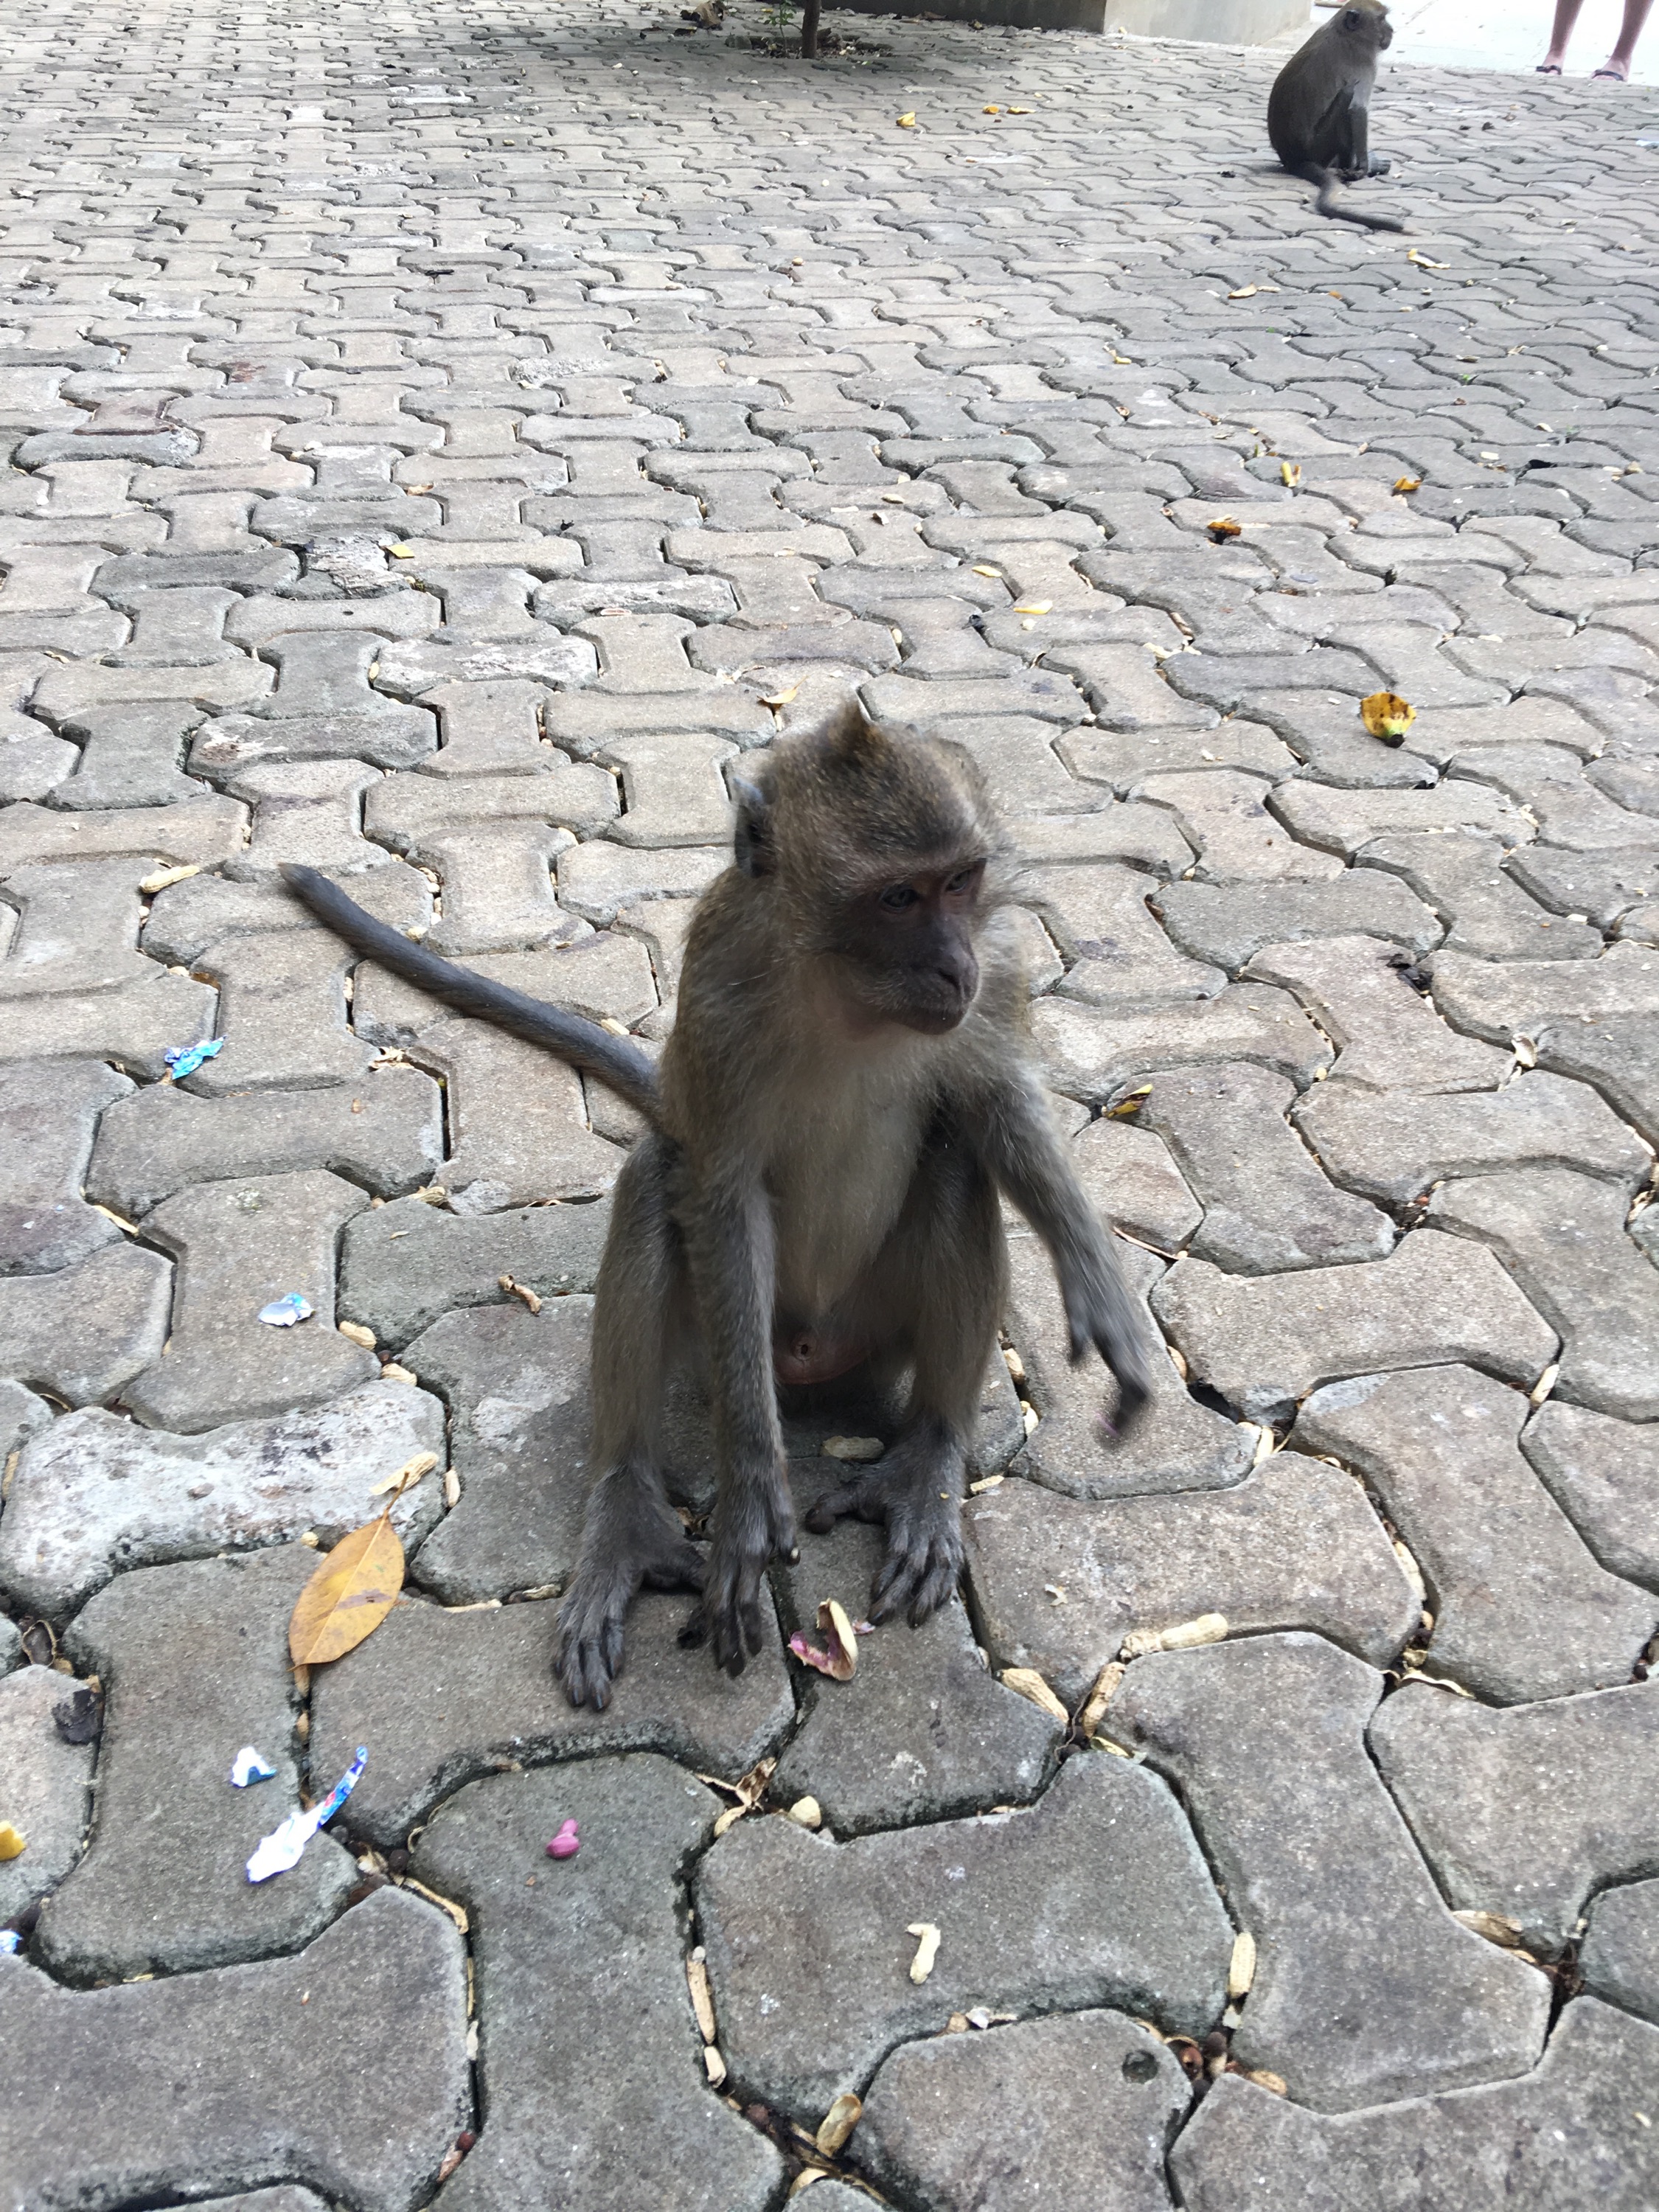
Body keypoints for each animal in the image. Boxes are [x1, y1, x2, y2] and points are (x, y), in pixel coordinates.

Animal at [282, 705, 1152, 1709]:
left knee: (955, 1160)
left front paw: (1100, 1290)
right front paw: (750, 1496)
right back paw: (627, 1510)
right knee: (661, 1174)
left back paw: (927, 1460)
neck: (846, 998)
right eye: (898, 898)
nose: (952, 968)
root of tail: (815, 1357)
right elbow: (721, 1190)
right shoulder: (719, 987)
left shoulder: (1001, 965)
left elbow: (995, 1103)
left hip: (876, 1328)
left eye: (961, 882)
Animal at [1268, 0, 1405, 234]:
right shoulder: (1365, 64)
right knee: (1348, 94)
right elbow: (1357, 109)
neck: (1346, 33)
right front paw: (1364, 167)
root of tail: (1292, 159)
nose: (1392, 30)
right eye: (1381, 19)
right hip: (1320, 148)